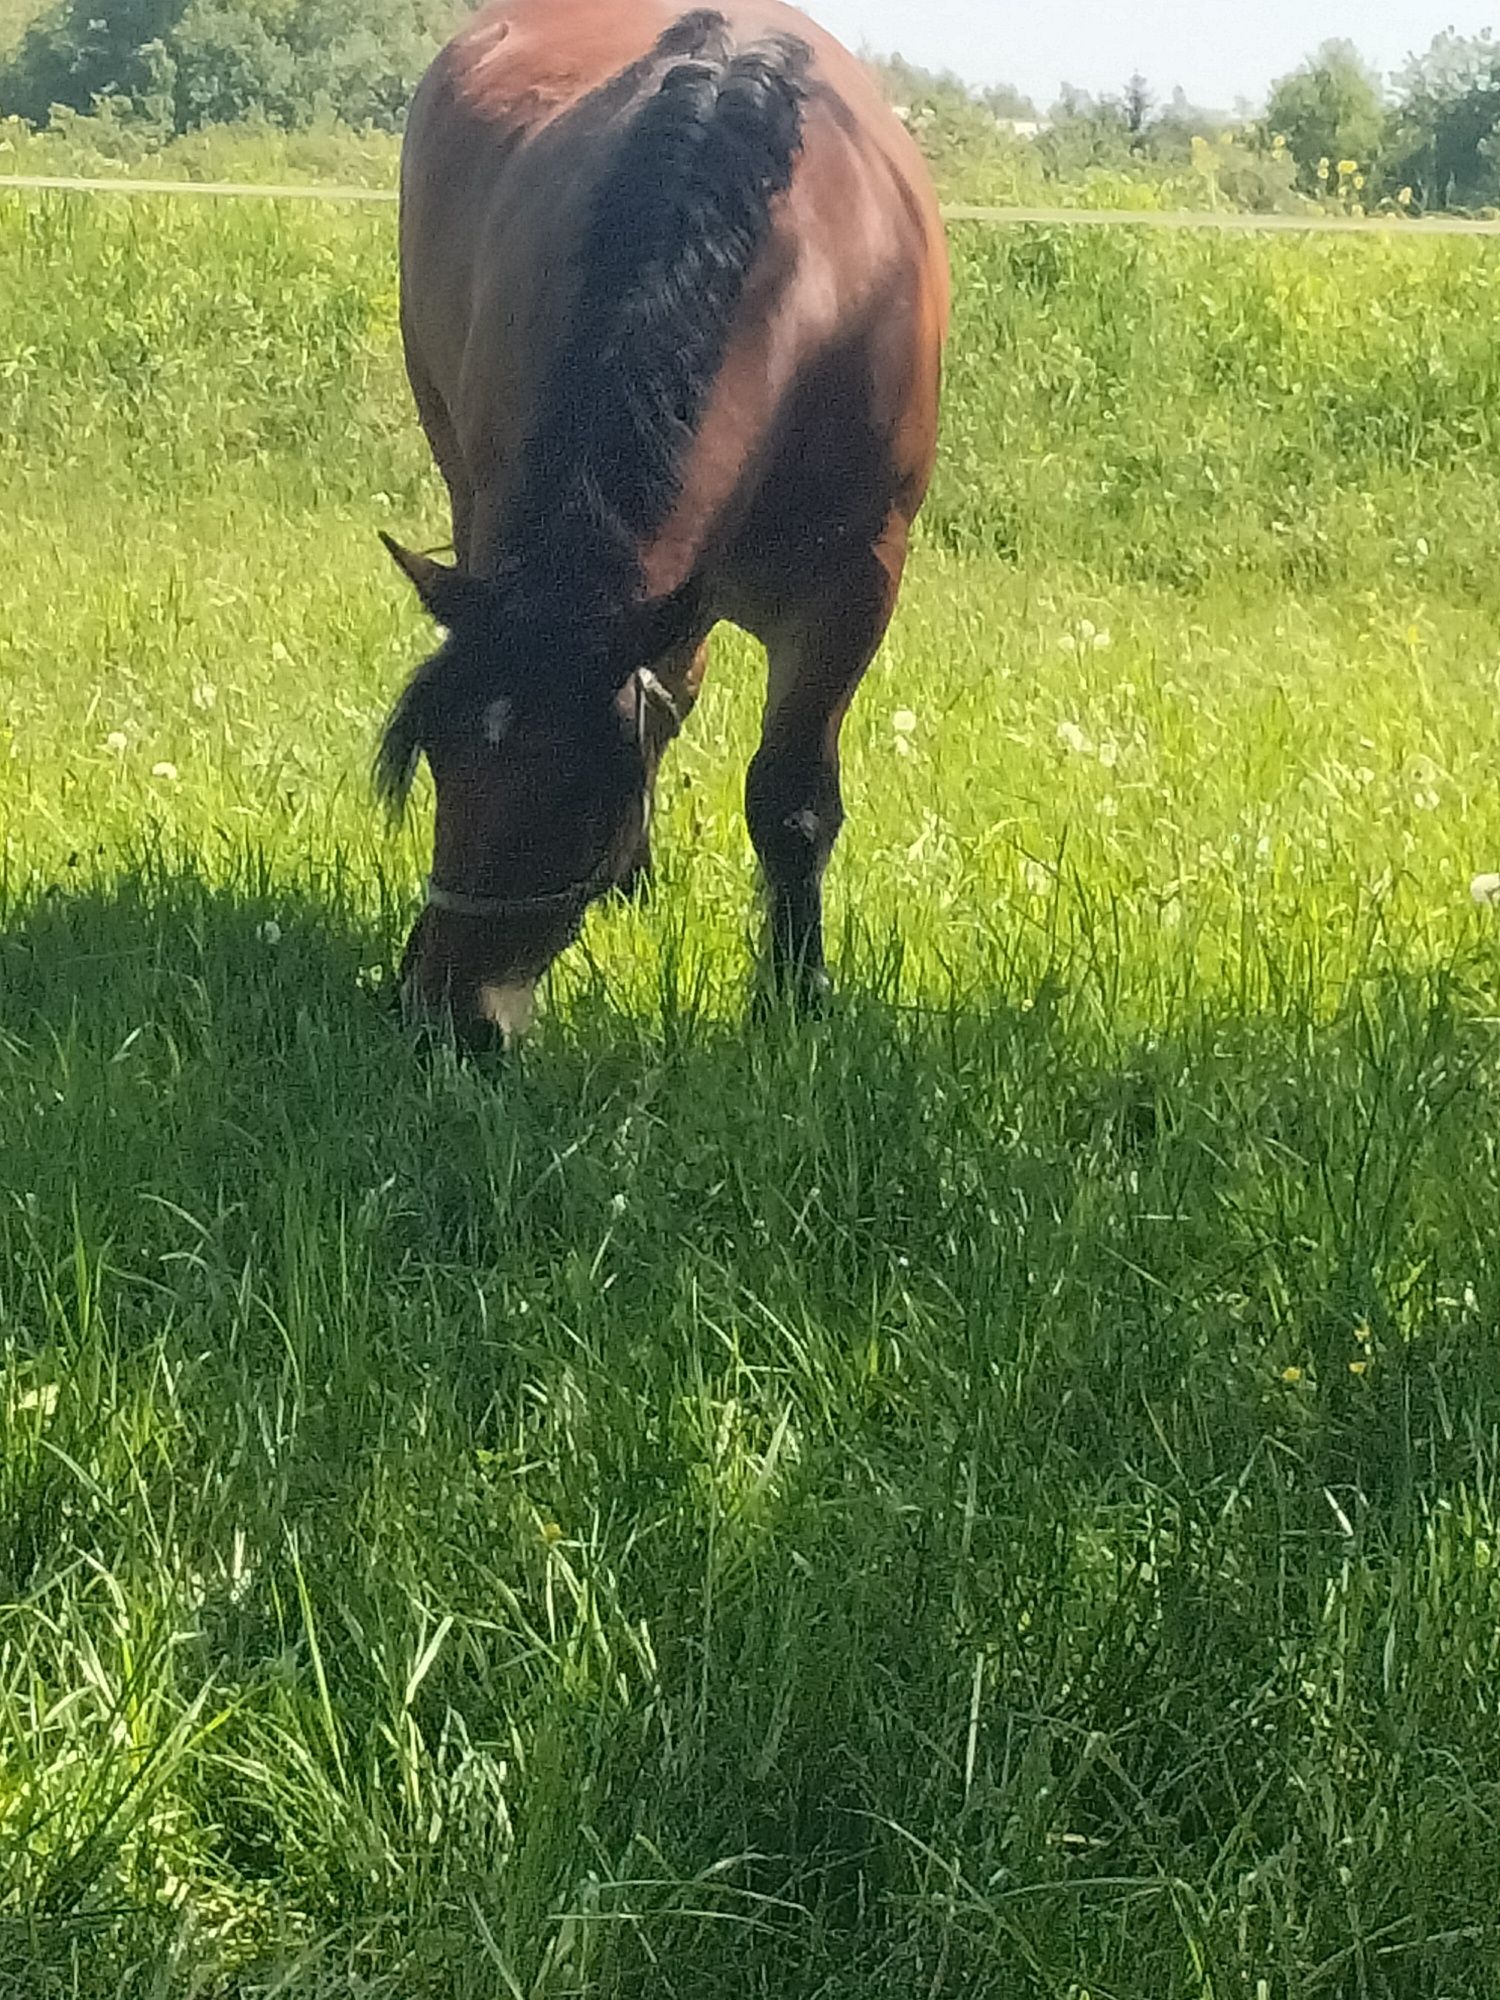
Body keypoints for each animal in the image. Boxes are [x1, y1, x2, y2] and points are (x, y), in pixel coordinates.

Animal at [384, 0, 952, 1040]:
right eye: (440, 762)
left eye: (581, 794)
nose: (448, 1017)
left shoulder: (855, 584)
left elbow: (790, 799)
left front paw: (796, 994)